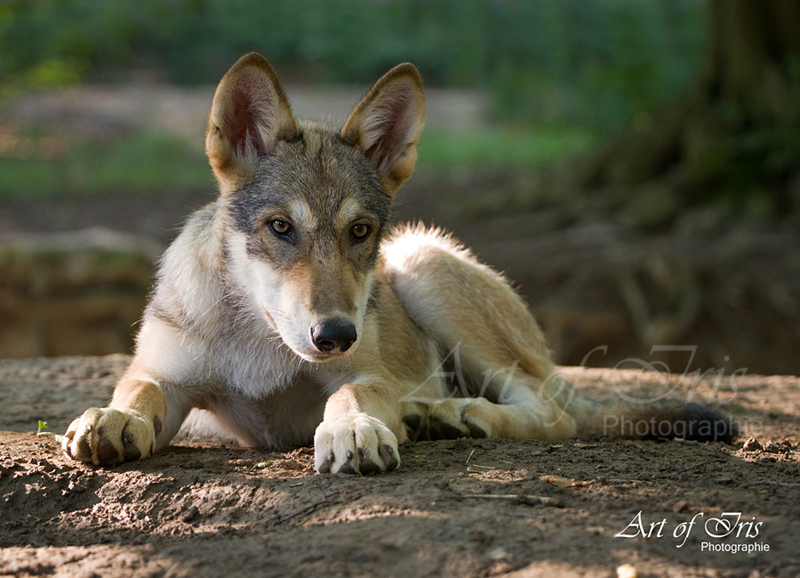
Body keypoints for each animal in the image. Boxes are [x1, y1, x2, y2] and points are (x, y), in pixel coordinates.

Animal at [62, 51, 736, 472]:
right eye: (281, 228)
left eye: (360, 231)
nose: (336, 334)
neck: (259, 340)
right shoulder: (167, 377)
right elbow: (139, 393)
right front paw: (112, 419)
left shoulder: (366, 374)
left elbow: (349, 398)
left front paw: (354, 432)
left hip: (421, 263)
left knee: (553, 415)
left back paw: (455, 414)